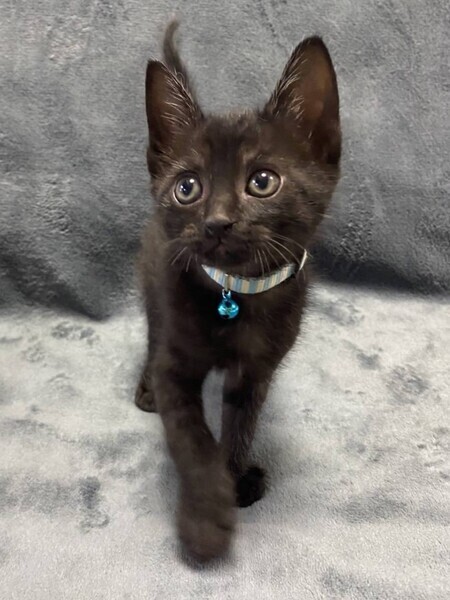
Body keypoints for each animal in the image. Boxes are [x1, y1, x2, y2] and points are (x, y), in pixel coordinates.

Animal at [135, 21, 341, 560]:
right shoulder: (176, 365)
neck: (236, 294)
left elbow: (241, 423)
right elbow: (191, 439)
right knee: (151, 331)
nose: (218, 222)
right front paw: (205, 522)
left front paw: (236, 477)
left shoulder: (257, 370)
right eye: (188, 187)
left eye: (263, 181)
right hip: (151, 280)